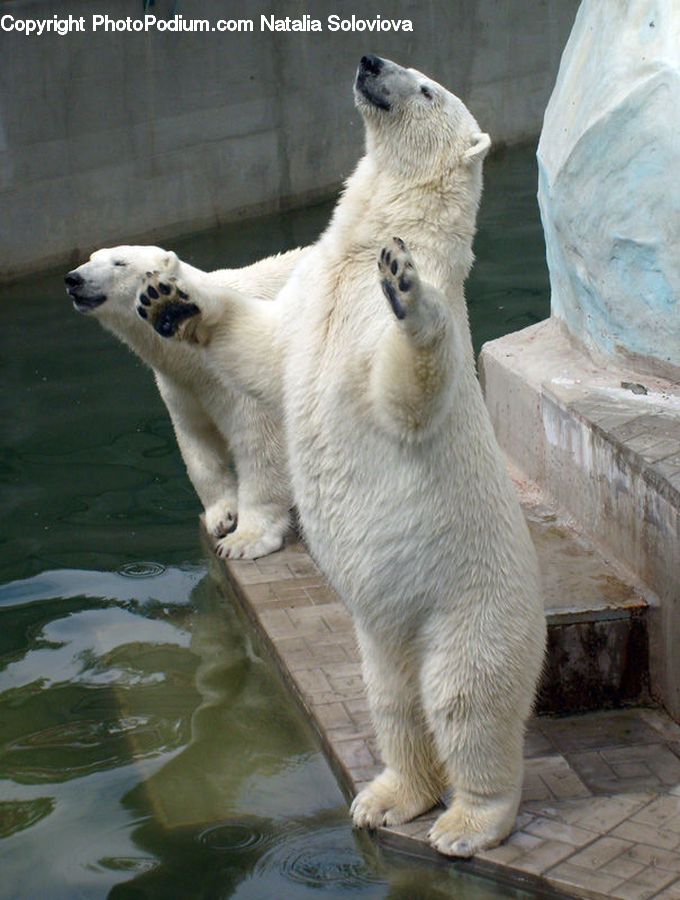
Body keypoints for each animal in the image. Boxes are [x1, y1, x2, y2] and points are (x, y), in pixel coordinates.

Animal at [65, 244, 307, 558]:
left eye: (120, 263)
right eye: (91, 258)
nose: (74, 279)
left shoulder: (243, 369)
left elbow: (261, 443)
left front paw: (244, 540)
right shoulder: (184, 385)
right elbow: (196, 441)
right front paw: (222, 516)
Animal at [131, 55, 546, 857]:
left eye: (426, 88)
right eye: (400, 65)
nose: (371, 61)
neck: (356, 251)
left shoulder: (381, 334)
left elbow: (407, 390)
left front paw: (406, 284)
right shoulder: (310, 299)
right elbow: (265, 350)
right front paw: (171, 294)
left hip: (471, 604)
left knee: (465, 701)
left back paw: (466, 822)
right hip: (382, 632)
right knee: (392, 701)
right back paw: (388, 797)